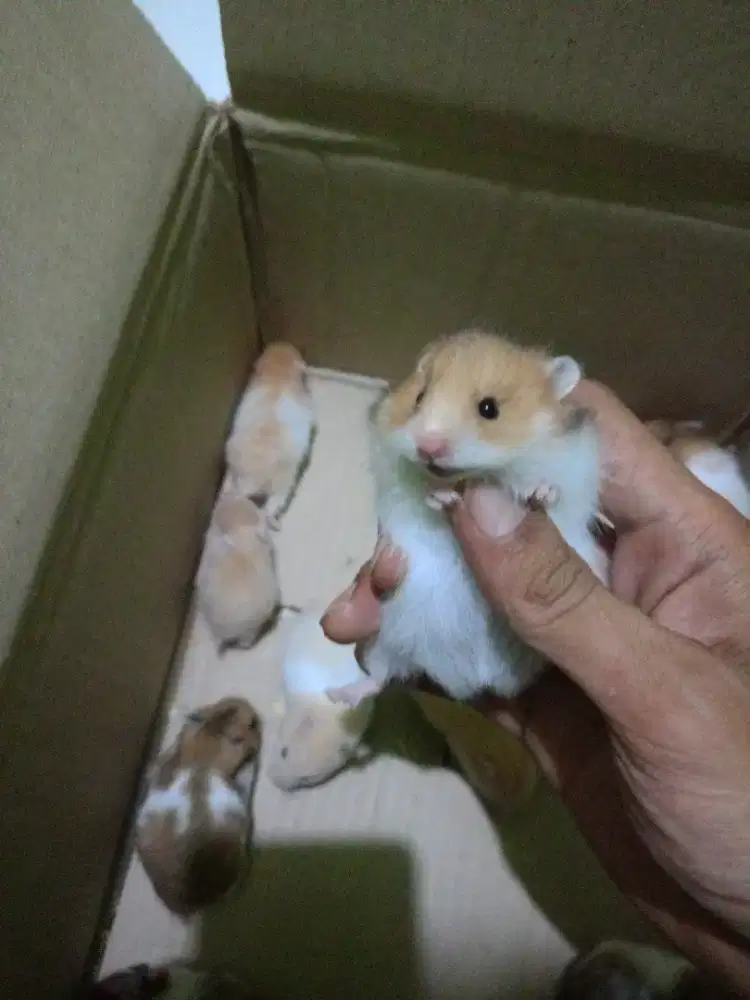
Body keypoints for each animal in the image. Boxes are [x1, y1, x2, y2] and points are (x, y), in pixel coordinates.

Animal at [225, 341, 316, 527]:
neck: (277, 372)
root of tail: (253, 480)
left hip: (234, 463)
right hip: (283, 488)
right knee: (270, 509)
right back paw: (276, 523)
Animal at [328, 329, 606, 706]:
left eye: (489, 409)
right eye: (419, 398)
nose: (427, 446)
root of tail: (479, 680)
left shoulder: (576, 469)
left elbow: (555, 494)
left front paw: (535, 493)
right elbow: (417, 498)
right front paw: (441, 499)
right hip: (390, 637)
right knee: (380, 676)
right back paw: (338, 696)